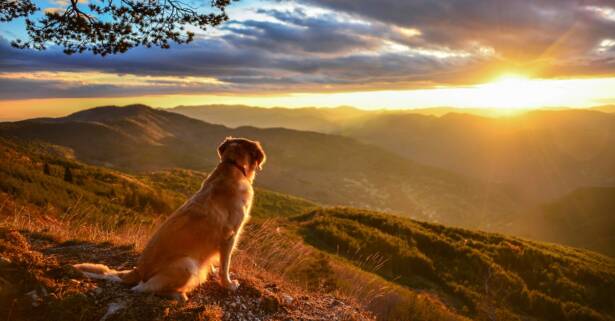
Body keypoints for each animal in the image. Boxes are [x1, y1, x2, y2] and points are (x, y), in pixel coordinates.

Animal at [72, 136, 264, 300]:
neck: (232, 166)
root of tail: (137, 271)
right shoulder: (229, 236)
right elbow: (225, 266)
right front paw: (229, 284)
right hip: (187, 264)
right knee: (144, 288)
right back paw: (179, 295)